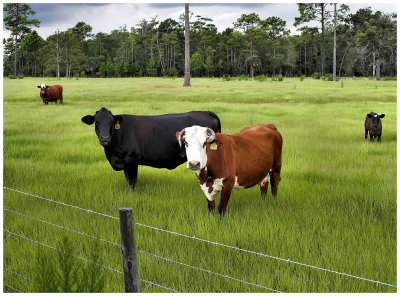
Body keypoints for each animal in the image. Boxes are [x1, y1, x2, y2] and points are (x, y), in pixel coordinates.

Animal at [80, 107, 220, 191]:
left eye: (111, 122)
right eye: (96, 122)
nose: (105, 138)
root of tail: (206, 112)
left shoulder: (132, 161)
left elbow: (132, 181)